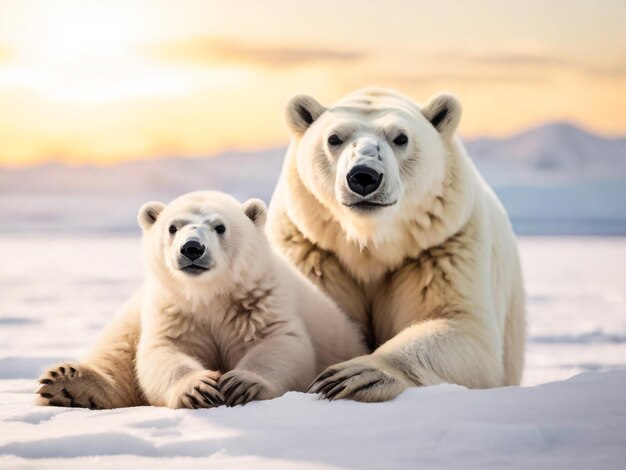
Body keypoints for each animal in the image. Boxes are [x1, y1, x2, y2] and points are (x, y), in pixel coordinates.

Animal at [36, 191, 364, 408]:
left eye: (219, 227)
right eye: (173, 227)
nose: (191, 248)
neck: (209, 296)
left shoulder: (258, 302)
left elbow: (279, 343)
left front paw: (240, 384)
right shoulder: (174, 309)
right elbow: (165, 350)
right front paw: (199, 389)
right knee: (118, 346)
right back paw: (67, 382)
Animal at [266, 87, 524, 400]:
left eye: (401, 137)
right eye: (334, 138)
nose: (364, 176)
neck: (371, 244)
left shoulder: (442, 247)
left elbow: (464, 329)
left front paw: (355, 376)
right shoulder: (313, 250)